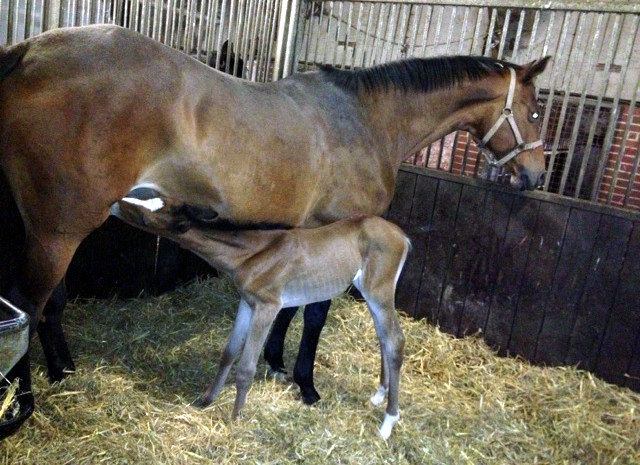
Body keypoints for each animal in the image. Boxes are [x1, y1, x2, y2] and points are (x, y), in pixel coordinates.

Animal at [113, 188, 412, 438]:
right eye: (153, 198)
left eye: (145, 217)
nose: (116, 202)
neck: (252, 253)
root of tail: (402, 236)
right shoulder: (247, 303)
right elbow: (228, 353)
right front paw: (206, 400)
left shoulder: (267, 307)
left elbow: (246, 367)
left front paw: (235, 419)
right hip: (371, 292)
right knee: (383, 339)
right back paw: (378, 396)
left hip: (379, 290)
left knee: (395, 341)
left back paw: (387, 424)